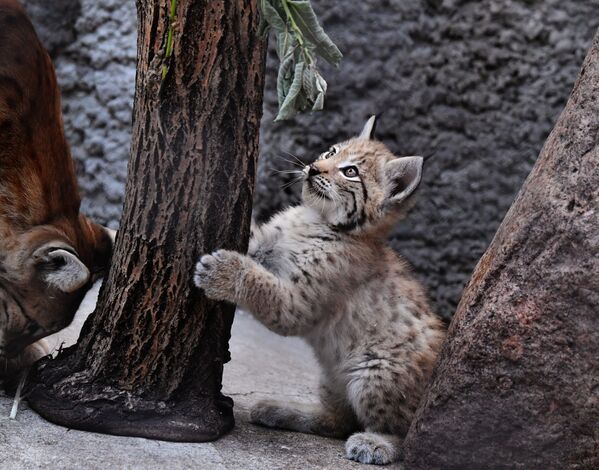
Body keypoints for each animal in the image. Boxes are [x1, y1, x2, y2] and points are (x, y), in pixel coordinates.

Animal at [196, 116, 446, 462]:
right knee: (338, 421)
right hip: (332, 373)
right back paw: (281, 410)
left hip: (374, 371)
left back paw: (376, 443)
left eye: (350, 171)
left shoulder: (296, 306)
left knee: (403, 431)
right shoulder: (268, 245)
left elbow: (261, 285)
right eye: (331, 152)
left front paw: (224, 271)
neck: (316, 218)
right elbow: (255, 243)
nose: (314, 168)